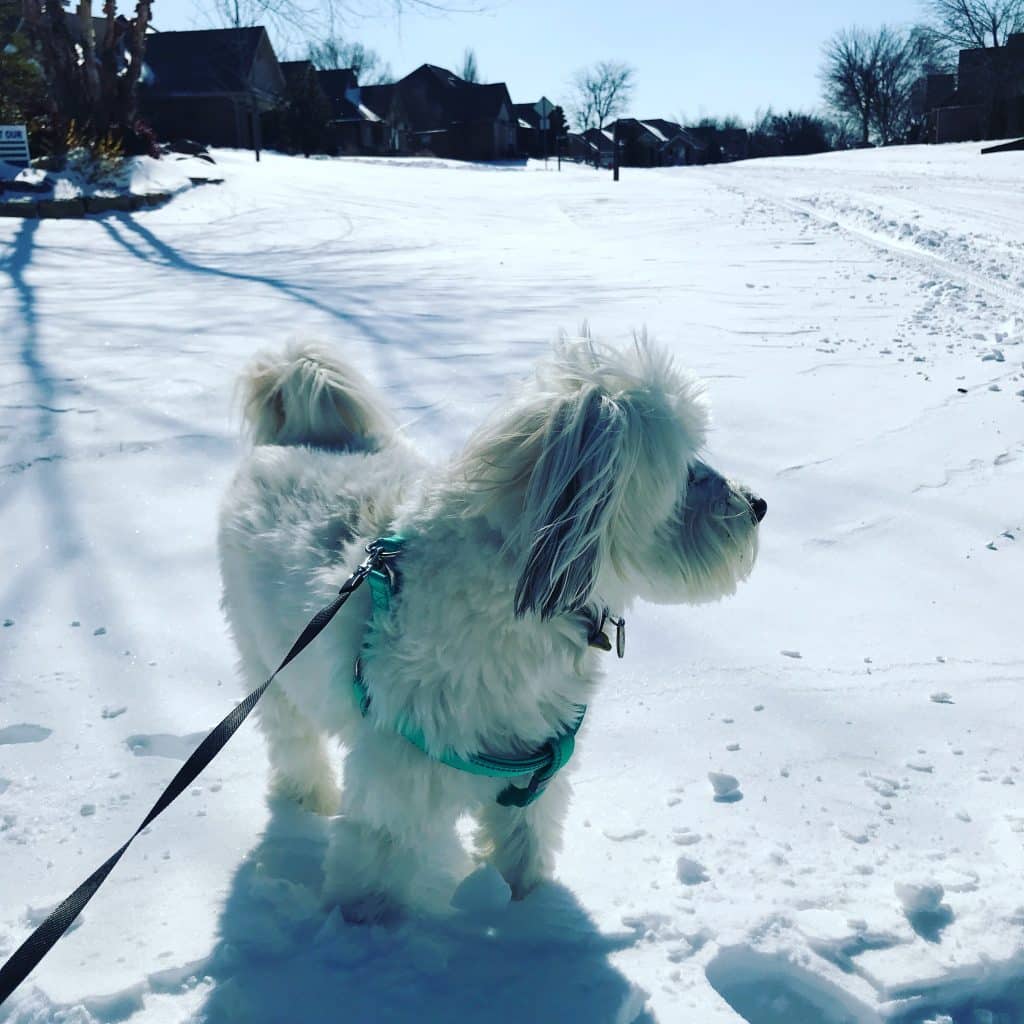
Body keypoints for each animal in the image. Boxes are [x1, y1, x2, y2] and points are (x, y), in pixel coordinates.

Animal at [218, 333, 761, 921]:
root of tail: (299, 437)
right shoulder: (396, 780)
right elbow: (376, 870)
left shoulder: (533, 770)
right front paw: (362, 931)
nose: (758, 505)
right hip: (267, 664)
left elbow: (524, 844)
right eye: (686, 468)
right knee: (292, 739)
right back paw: (309, 800)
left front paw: (532, 914)